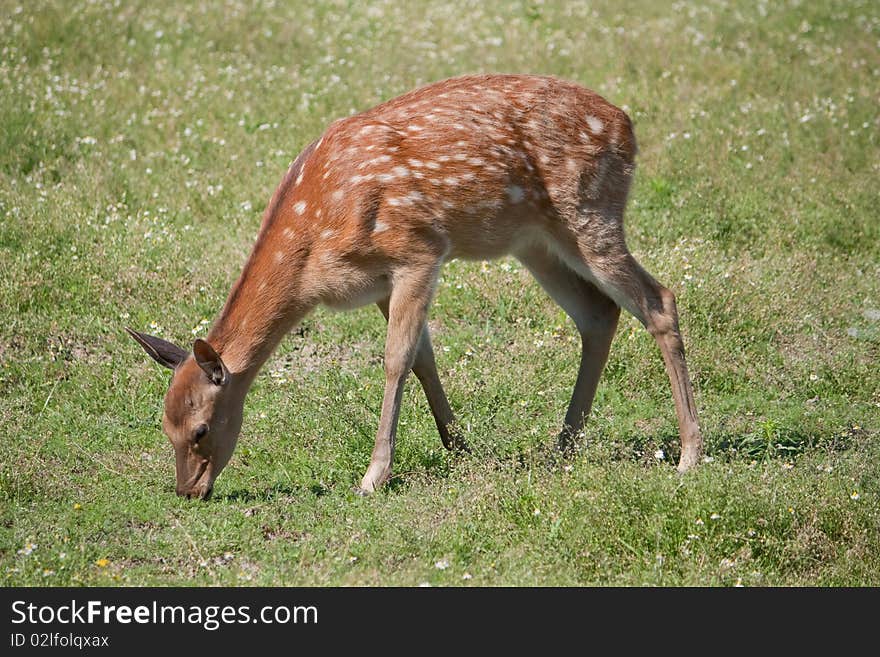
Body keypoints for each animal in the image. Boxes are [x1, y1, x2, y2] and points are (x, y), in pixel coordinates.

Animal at [125, 74, 700, 498]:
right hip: (535, 242)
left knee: (659, 300)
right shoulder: (380, 282)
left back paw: (689, 454)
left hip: (590, 212)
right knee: (598, 312)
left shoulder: (419, 250)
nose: (187, 490)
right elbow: (423, 357)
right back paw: (563, 446)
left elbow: (396, 359)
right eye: (164, 426)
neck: (313, 255)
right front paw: (459, 447)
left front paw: (373, 477)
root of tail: (627, 124)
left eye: (200, 429)